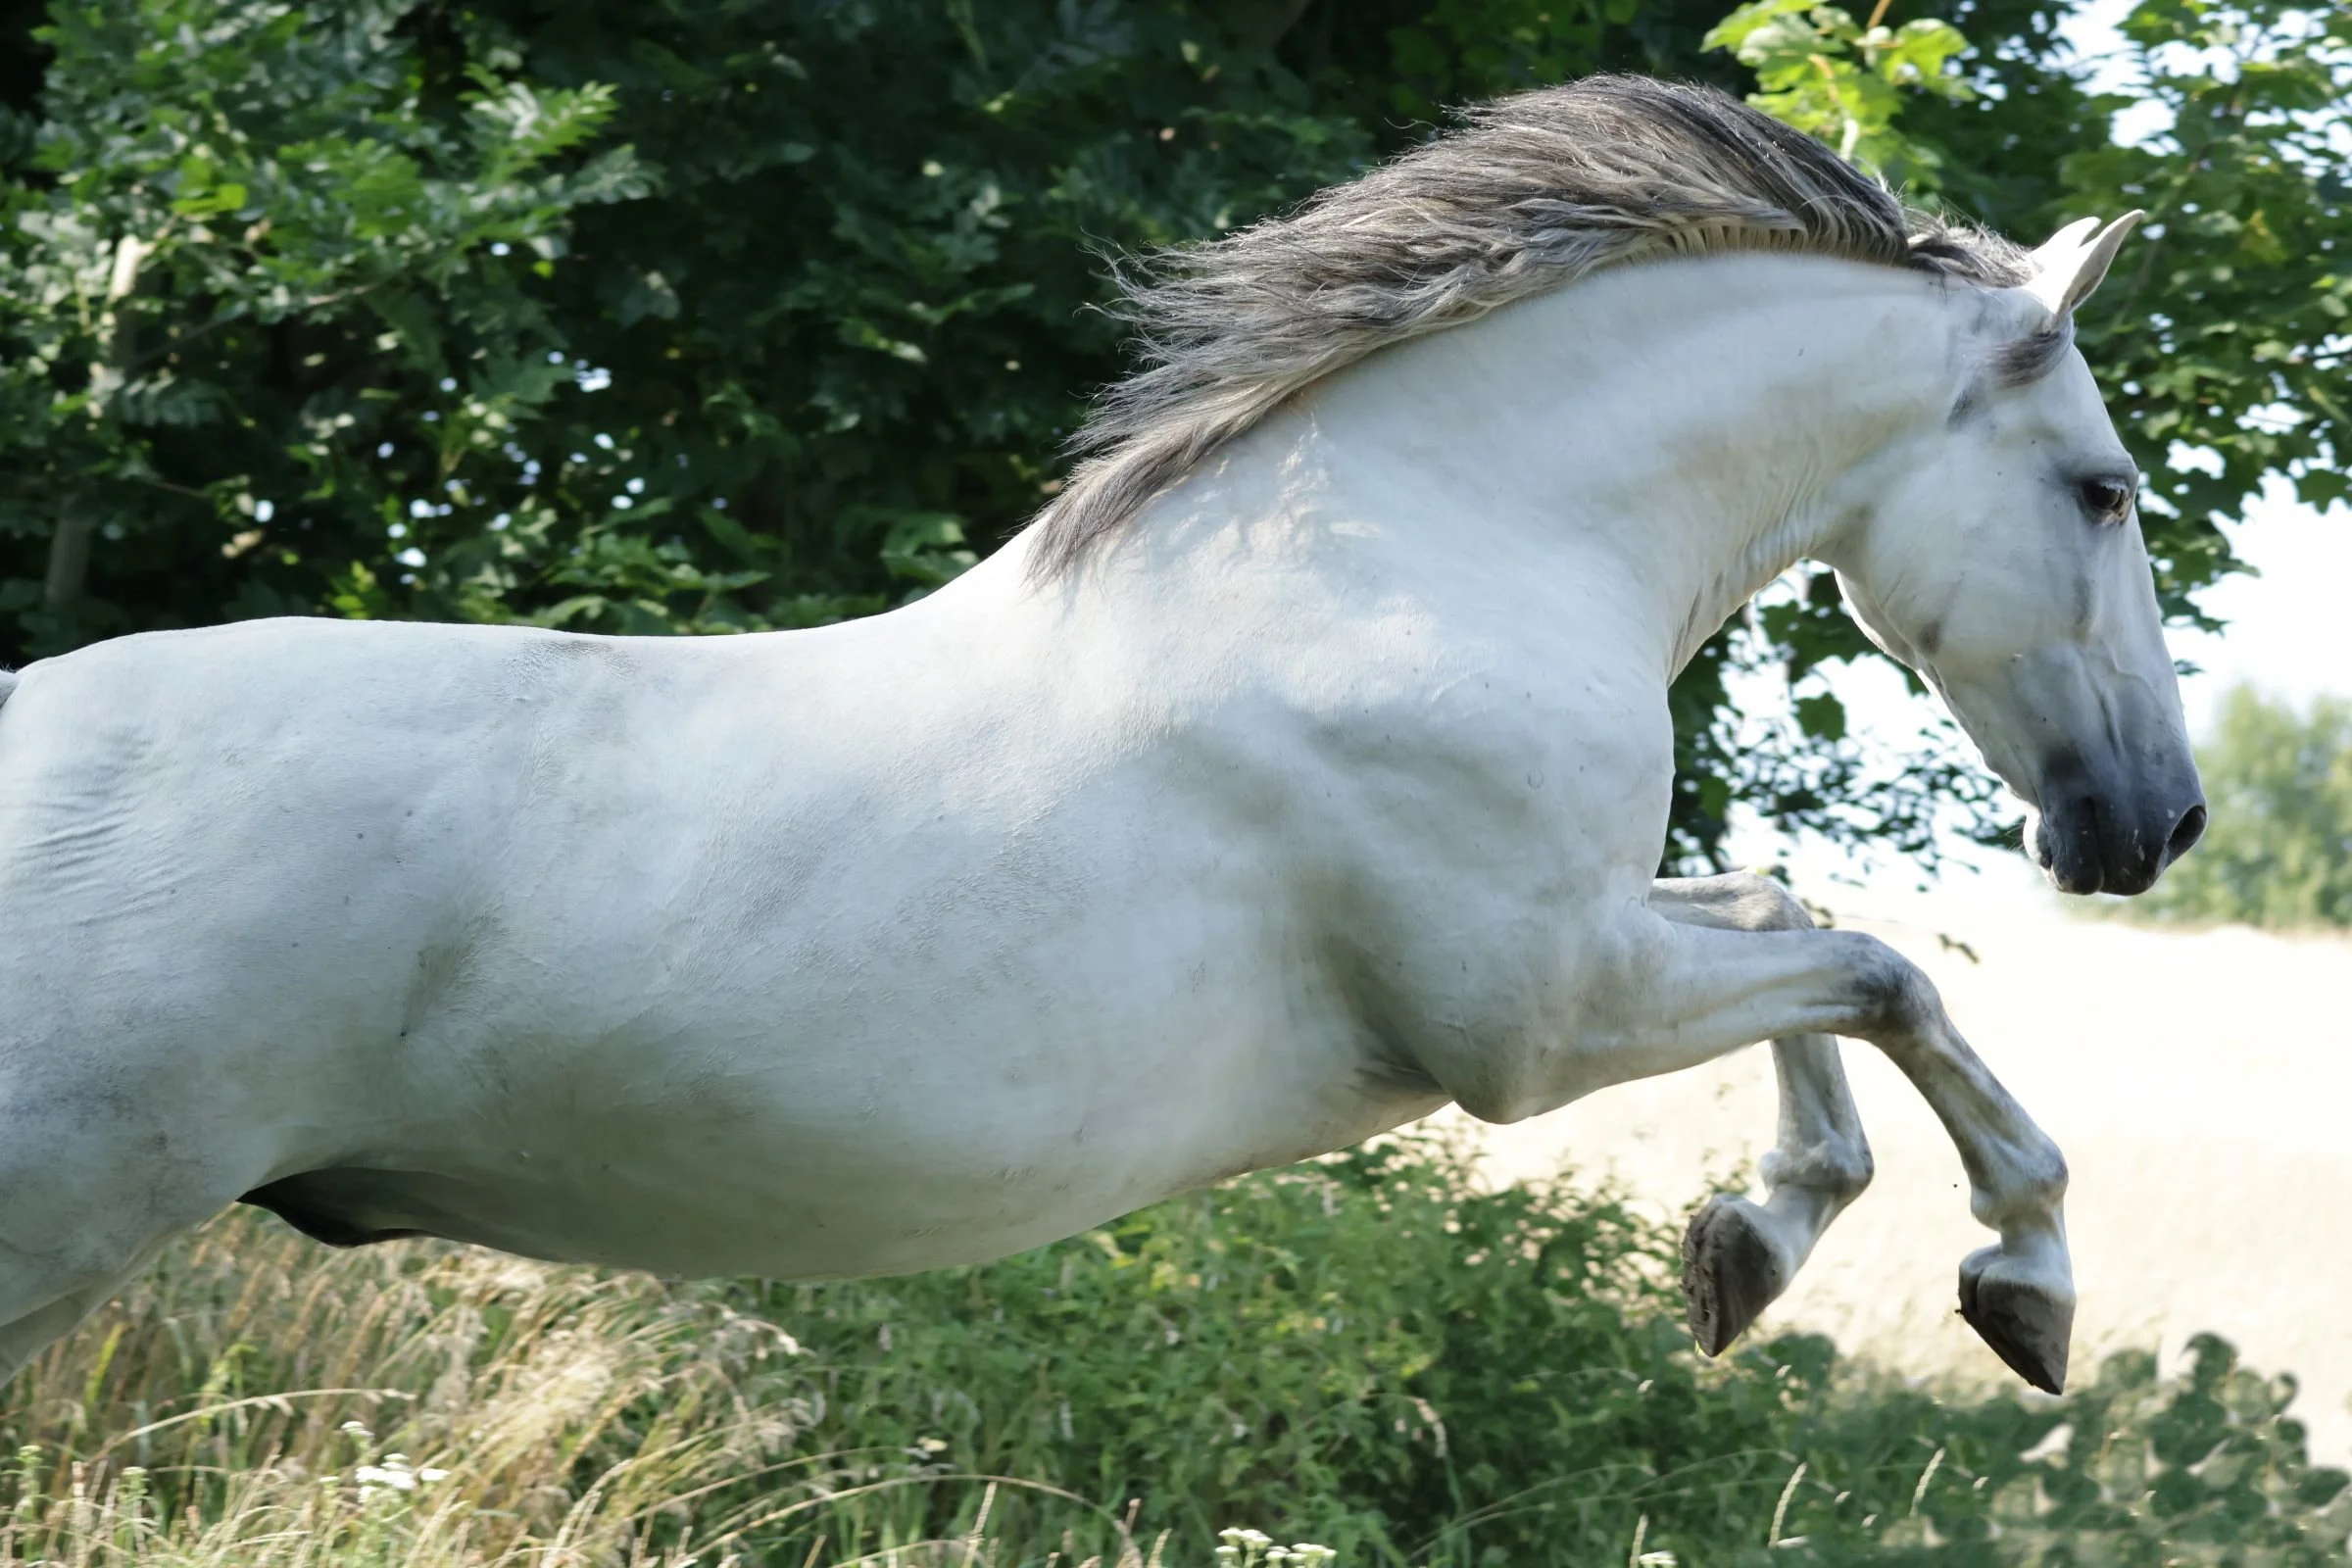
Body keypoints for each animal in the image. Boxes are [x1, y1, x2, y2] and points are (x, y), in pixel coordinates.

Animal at [0, 77, 2202, 1395]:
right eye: (2104, 491)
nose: (2154, 825)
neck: (1436, 554)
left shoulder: (1594, 939)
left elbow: (1796, 918)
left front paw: (1747, 1243)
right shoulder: (1531, 1020)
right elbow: (1879, 961)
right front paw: (2022, 1282)